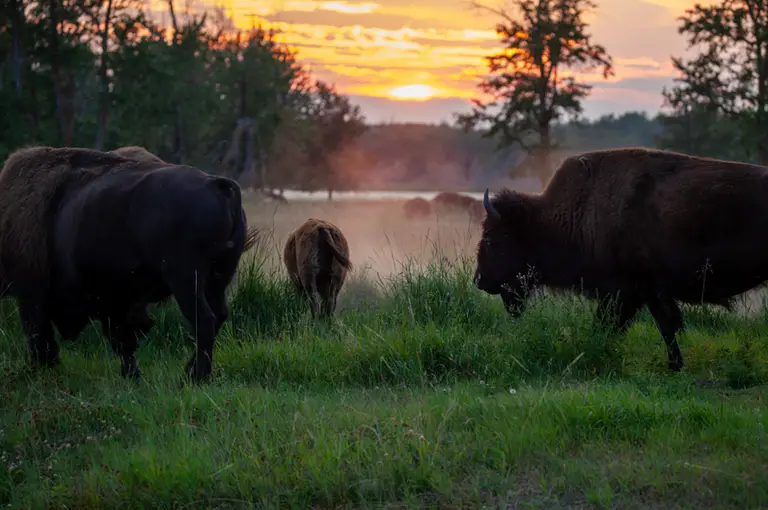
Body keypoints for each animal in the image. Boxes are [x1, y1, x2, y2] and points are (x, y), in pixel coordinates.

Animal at [0, 146, 258, 383]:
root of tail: (218, 185)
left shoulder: (32, 294)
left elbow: (39, 333)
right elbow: (124, 339)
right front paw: (131, 375)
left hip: (186, 279)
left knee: (204, 321)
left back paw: (195, 378)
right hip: (218, 278)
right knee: (218, 316)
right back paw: (189, 372)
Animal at [475, 147, 768, 372]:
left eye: (491, 238)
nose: (479, 280)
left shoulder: (631, 291)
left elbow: (654, 325)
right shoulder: (641, 294)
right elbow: (659, 325)